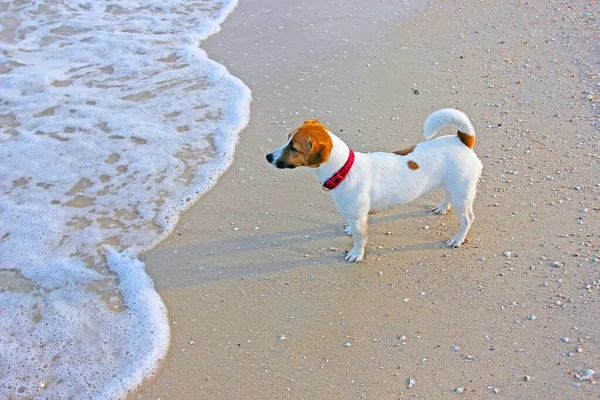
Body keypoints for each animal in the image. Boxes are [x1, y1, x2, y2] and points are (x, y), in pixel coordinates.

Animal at [268, 108, 482, 262]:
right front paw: (349, 230)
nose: (268, 156)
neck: (344, 169)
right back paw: (442, 207)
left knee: (468, 218)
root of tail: (462, 140)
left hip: (462, 194)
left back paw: (458, 238)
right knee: (448, 197)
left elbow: (360, 238)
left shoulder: (358, 218)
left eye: (294, 148)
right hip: (452, 187)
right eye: (287, 138)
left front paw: (356, 254)